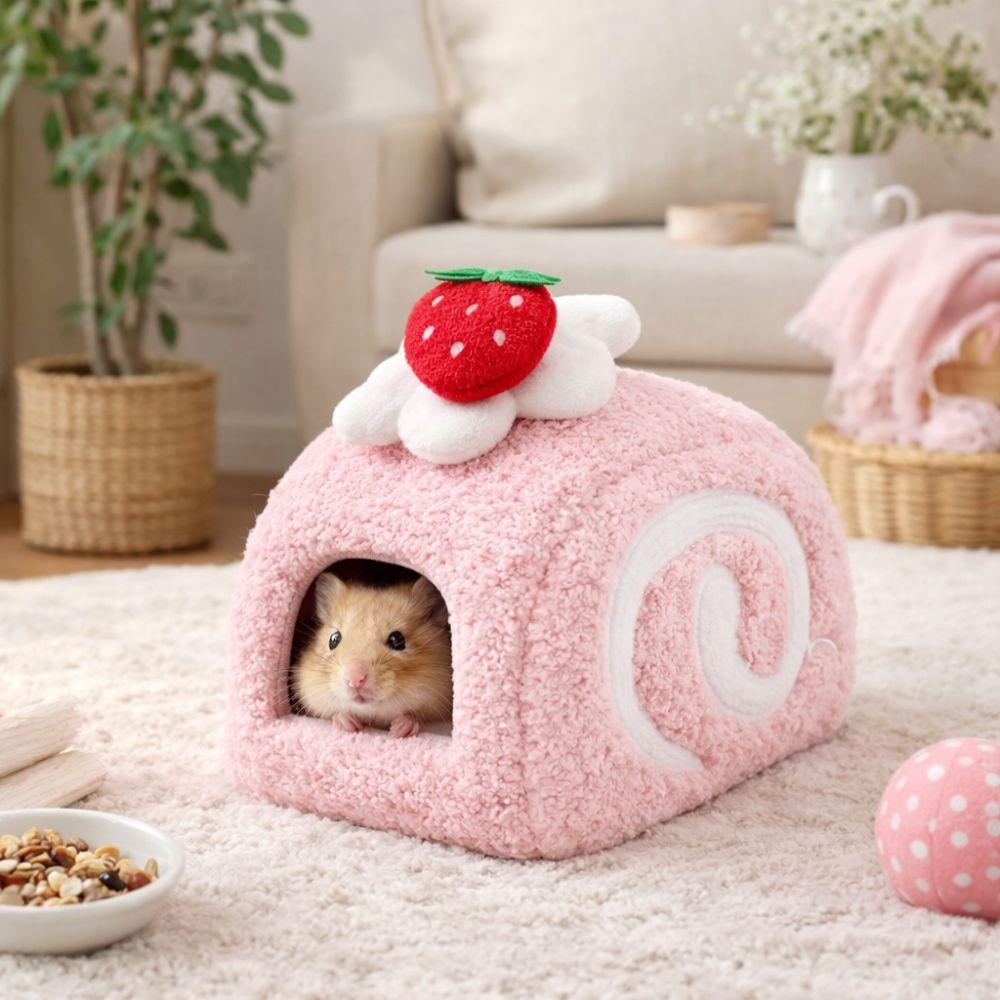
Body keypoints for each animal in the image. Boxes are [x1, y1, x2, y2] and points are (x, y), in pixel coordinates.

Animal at [291, 570, 452, 738]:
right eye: (333, 639)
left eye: (397, 640)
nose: (355, 679)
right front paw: (349, 723)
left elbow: (414, 717)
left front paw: (398, 730)